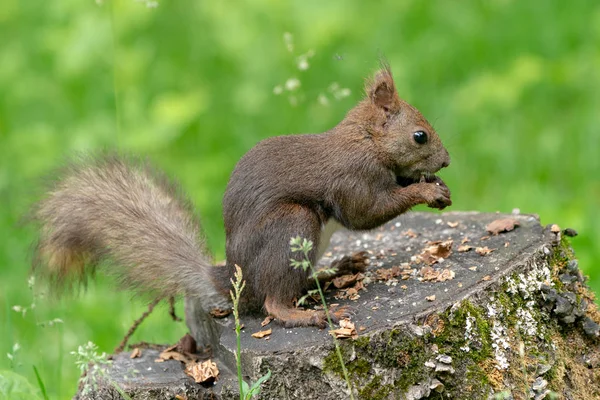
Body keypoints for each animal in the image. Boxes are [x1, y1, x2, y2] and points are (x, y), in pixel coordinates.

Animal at [29, 64, 450, 332]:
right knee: (274, 301)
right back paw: (305, 313)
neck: (366, 140)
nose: (446, 161)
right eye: (420, 136)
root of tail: (233, 282)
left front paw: (436, 185)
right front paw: (425, 189)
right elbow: (365, 213)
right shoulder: (352, 178)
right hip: (291, 226)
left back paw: (338, 268)